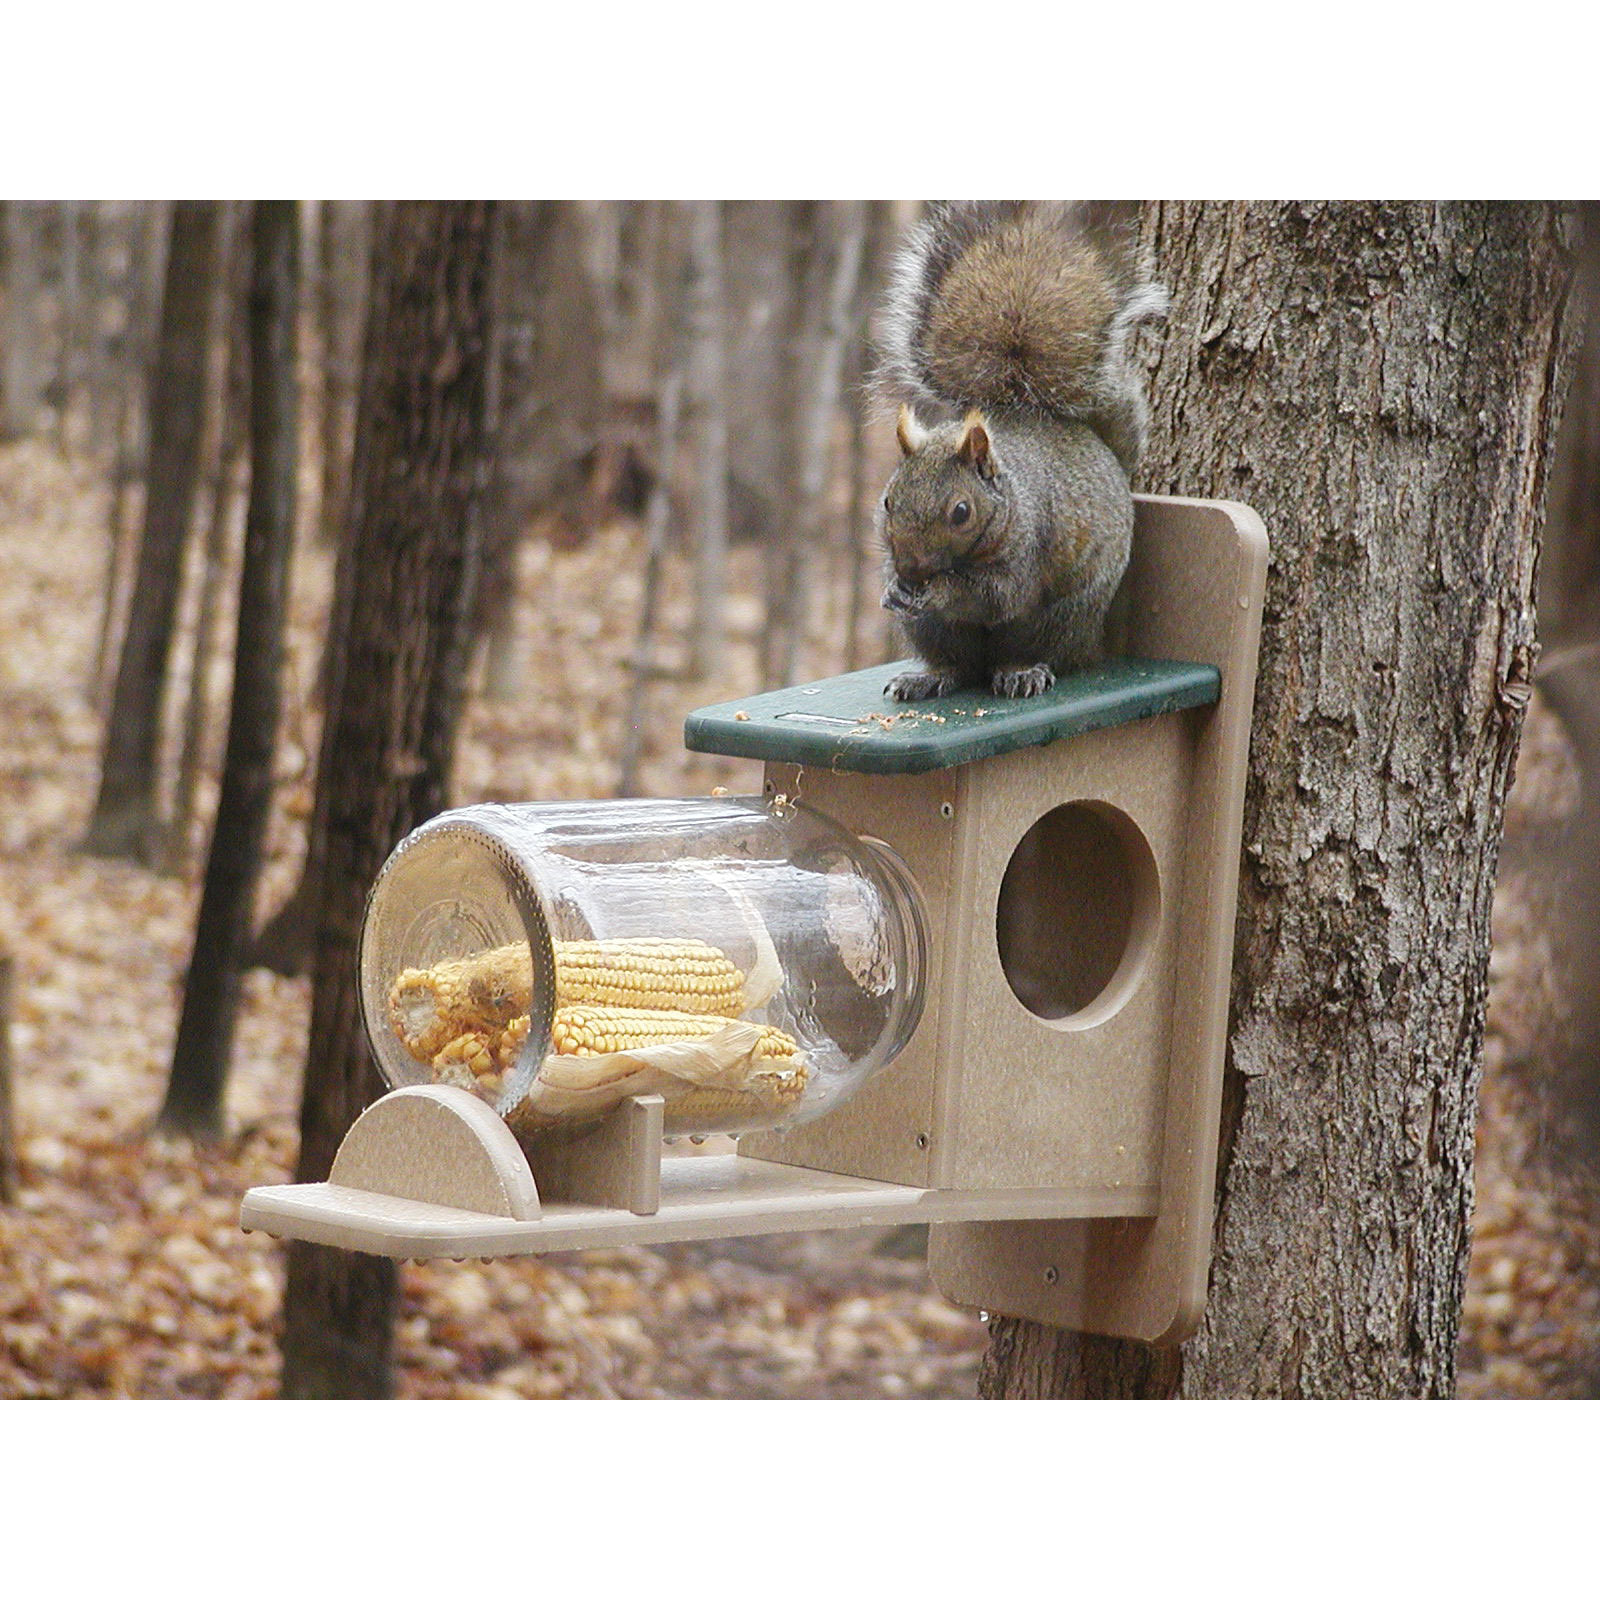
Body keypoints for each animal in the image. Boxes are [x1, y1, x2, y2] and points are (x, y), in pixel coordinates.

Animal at [871, 202, 1167, 701]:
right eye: (888, 501)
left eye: (961, 512)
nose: (910, 573)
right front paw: (892, 589)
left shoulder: (1026, 548)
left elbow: (993, 595)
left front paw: (940, 590)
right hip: (932, 631)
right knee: (957, 665)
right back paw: (928, 677)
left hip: (1061, 616)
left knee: (1032, 650)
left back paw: (1021, 671)